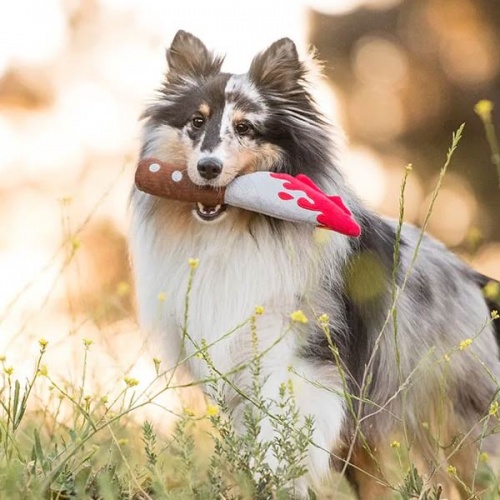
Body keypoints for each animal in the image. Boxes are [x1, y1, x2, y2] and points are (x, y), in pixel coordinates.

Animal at [130, 30, 500, 496]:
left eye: (245, 127)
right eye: (196, 122)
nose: (207, 168)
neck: (239, 229)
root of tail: (473, 280)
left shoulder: (304, 359)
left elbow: (285, 430)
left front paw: (275, 476)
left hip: (453, 419)